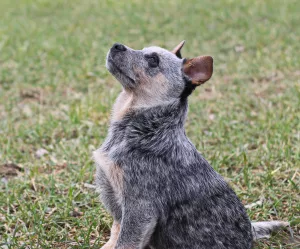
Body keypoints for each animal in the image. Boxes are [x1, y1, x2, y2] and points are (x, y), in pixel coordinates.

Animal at [94, 41, 288, 249]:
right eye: (143, 49)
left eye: (153, 60)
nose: (117, 45)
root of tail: (251, 232)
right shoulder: (114, 199)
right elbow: (115, 232)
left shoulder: (140, 207)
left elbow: (125, 241)